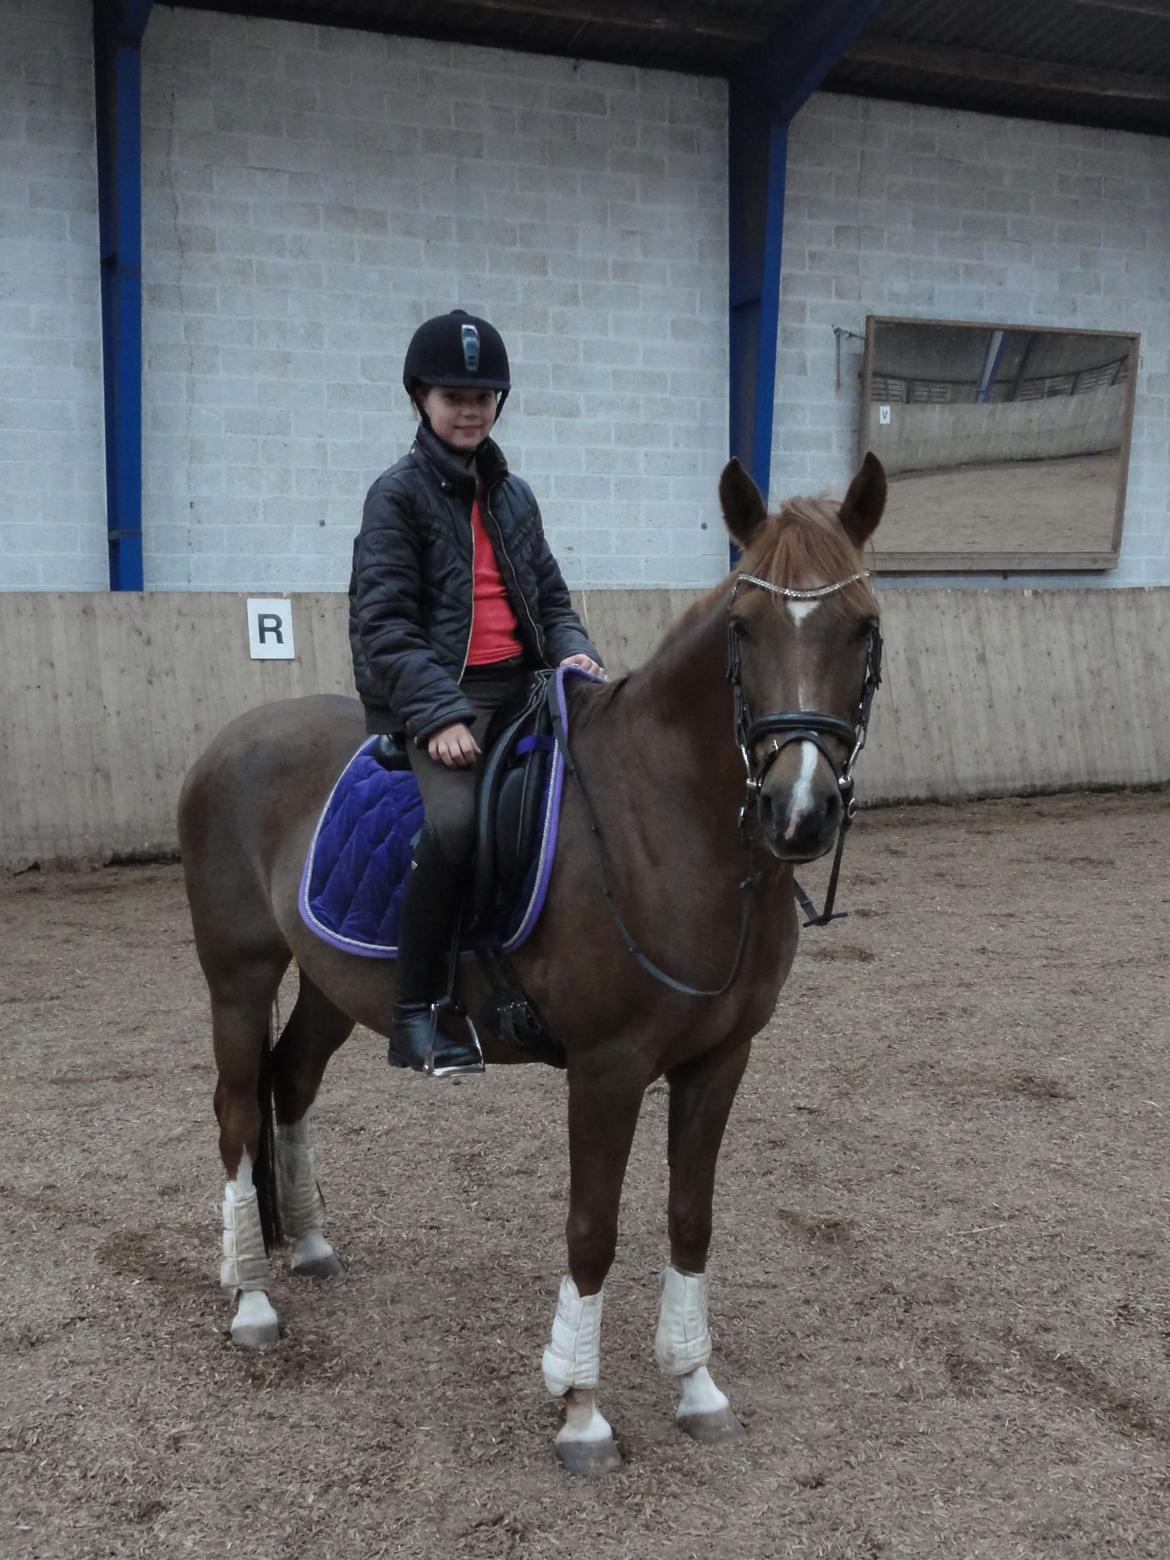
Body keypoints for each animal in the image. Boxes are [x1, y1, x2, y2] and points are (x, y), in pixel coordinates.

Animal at [178, 452, 886, 1474]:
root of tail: (232, 741)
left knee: (293, 1081)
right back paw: (251, 1299)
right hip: (238, 974)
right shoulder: (607, 1067)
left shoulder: (721, 1060)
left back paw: (307, 1246)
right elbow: (593, 1228)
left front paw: (696, 1385)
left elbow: (692, 1218)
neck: (667, 819)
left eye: (863, 626)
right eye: (743, 630)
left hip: (333, 981)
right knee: (237, 1108)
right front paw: (581, 1409)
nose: (799, 812)